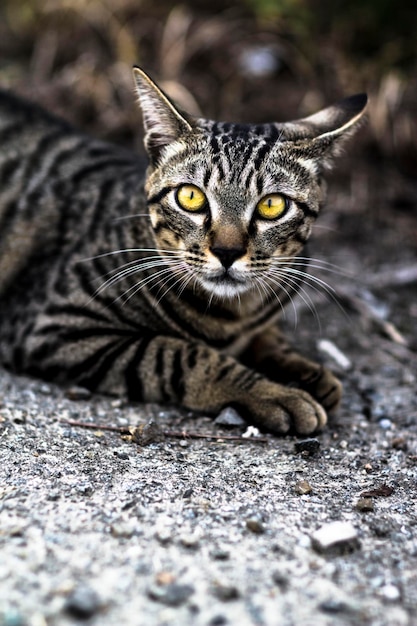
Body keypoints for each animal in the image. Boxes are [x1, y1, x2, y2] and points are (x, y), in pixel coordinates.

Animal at [0, 66, 366, 432]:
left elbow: (268, 338)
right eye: (190, 197)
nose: (227, 252)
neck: (234, 315)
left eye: (272, 205)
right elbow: (182, 355)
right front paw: (275, 394)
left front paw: (306, 371)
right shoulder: (55, 326)